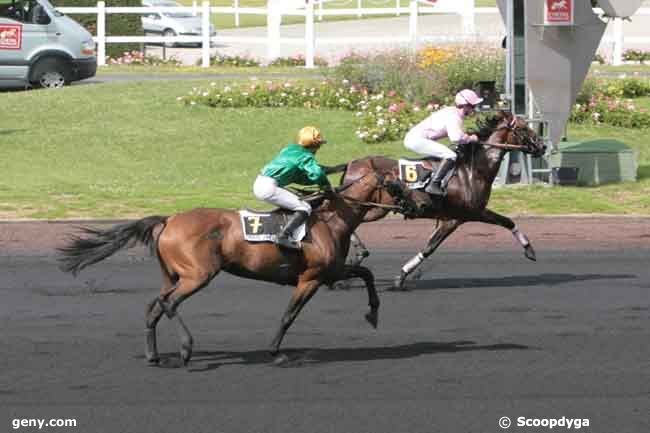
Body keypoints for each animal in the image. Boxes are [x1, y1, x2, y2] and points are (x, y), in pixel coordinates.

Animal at [57, 169, 410, 364]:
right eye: (396, 185)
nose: (413, 204)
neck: (330, 220)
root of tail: (169, 219)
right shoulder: (310, 278)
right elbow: (289, 315)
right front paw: (275, 351)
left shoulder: (331, 273)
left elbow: (366, 273)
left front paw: (373, 313)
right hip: (197, 275)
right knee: (169, 303)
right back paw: (185, 349)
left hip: (173, 275)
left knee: (153, 306)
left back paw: (153, 355)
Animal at [332, 110, 544, 290]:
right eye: (523, 127)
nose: (542, 146)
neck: (472, 170)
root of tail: (351, 164)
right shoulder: (466, 214)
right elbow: (430, 248)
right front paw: (401, 277)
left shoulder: (457, 216)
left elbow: (507, 222)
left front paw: (530, 250)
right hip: (365, 206)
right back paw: (357, 254)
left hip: (376, 209)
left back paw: (357, 256)